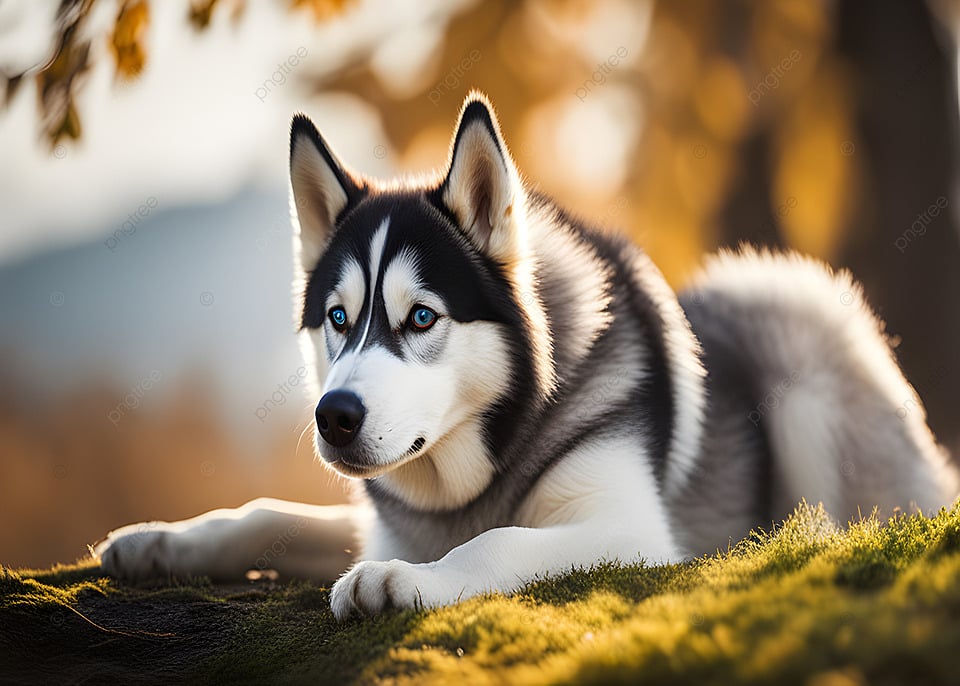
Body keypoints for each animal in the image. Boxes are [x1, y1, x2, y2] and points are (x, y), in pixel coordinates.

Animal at [95, 88, 952, 620]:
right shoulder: (385, 518)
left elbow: (496, 541)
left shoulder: (631, 531)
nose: (332, 416)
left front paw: (401, 582)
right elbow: (265, 512)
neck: (468, 471)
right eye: (338, 318)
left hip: (793, 315)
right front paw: (159, 542)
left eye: (421, 317)